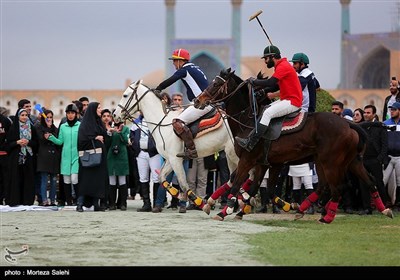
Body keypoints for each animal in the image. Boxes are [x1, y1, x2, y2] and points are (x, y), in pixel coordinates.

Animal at [112, 80, 239, 211]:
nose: (114, 115)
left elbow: (183, 184)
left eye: (125, 95)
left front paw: (198, 202)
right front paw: (178, 195)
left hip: (233, 154)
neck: (161, 122)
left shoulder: (175, 159)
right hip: (231, 155)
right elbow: (162, 178)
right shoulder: (170, 159)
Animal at [194, 68, 394, 223]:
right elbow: (255, 187)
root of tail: (348, 124)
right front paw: (239, 209)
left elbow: (237, 184)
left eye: (216, 84)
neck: (249, 119)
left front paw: (224, 210)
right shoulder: (266, 163)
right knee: (367, 182)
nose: (197, 101)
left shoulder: (249, 160)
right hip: (347, 161)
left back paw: (326, 216)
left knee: (337, 188)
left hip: (330, 162)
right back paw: (384, 209)